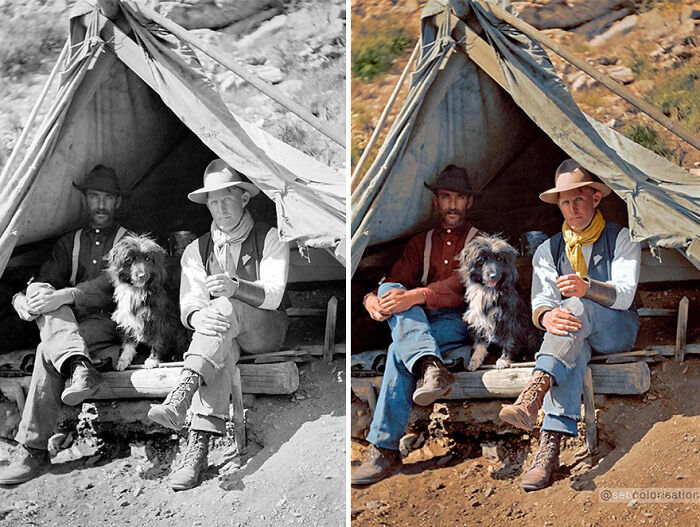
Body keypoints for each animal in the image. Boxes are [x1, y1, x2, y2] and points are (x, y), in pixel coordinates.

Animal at [105, 235, 185, 372]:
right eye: (131, 259)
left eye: (148, 258)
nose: (142, 275)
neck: (138, 290)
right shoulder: (128, 318)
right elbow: (128, 342)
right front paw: (123, 360)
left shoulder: (161, 319)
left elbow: (158, 340)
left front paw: (152, 360)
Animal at [454, 235, 540, 372]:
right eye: (482, 259)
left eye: (499, 259)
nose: (493, 275)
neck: (489, 291)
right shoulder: (481, 319)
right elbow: (480, 342)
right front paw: (475, 361)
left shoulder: (511, 320)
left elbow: (509, 341)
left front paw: (504, 360)